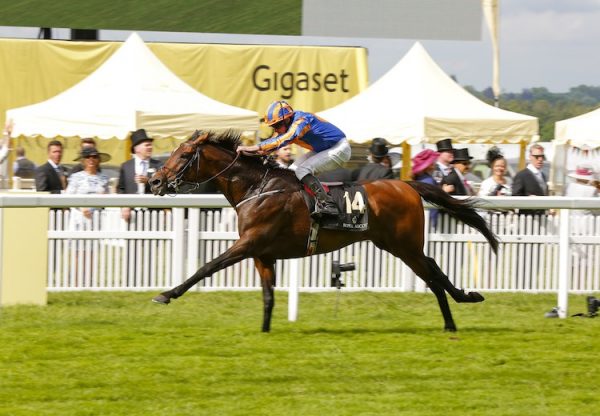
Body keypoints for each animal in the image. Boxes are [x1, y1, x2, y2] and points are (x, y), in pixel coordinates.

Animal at [149, 132, 496, 334]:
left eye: (183, 155)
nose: (154, 181)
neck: (257, 188)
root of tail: (406, 184)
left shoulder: (248, 243)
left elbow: (207, 266)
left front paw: (166, 294)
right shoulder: (263, 254)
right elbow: (267, 296)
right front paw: (265, 331)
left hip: (404, 245)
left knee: (432, 274)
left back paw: (453, 318)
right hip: (396, 245)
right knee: (434, 268)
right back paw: (461, 305)